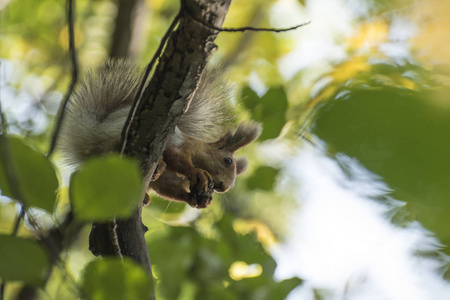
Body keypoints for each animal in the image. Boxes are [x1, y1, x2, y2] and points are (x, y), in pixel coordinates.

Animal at [57, 58, 260, 209]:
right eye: (227, 161)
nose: (223, 188)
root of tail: (91, 136)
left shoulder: (168, 179)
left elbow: (167, 185)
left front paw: (196, 199)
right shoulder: (177, 143)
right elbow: (177, 158)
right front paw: (197, 172)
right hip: (119, 132)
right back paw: (158, 165)